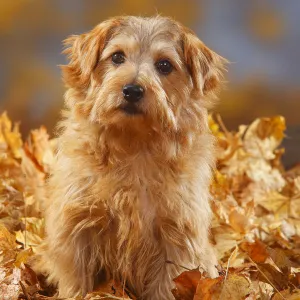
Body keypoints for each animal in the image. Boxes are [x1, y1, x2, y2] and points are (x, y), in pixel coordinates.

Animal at [41, 15, 226, 298]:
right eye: (117, 57)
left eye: (164, 65)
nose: (132, 90)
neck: (133, 145)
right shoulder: (76, 225)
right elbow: (76, 281)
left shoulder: (177, 235)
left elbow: (167, 285)